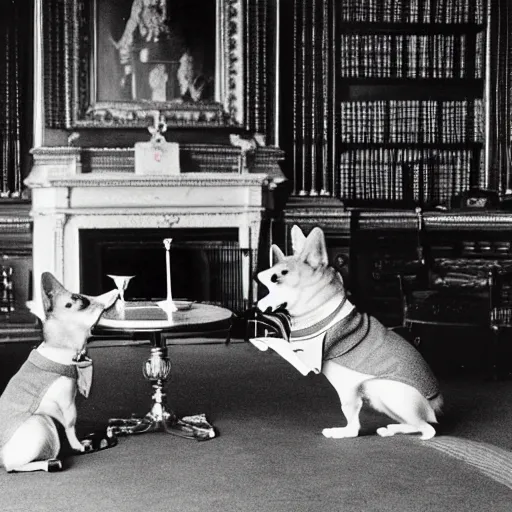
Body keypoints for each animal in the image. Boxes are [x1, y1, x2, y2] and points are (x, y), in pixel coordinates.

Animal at [0, 272, 118, 472]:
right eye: (78, 300)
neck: (60, 346)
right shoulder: (66, 404)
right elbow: (70, 424)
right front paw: (78, 445)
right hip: (41, 423)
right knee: (12, 466)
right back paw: (50, 463)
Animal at [256, 226, 444, 442]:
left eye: (279, 276)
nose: (260, 274)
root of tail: (435, 404)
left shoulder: (309, 362)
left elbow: (282, 345)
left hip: (388, 392)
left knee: (426, 428)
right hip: (379, 398)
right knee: (416, 424)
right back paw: (392, 429)